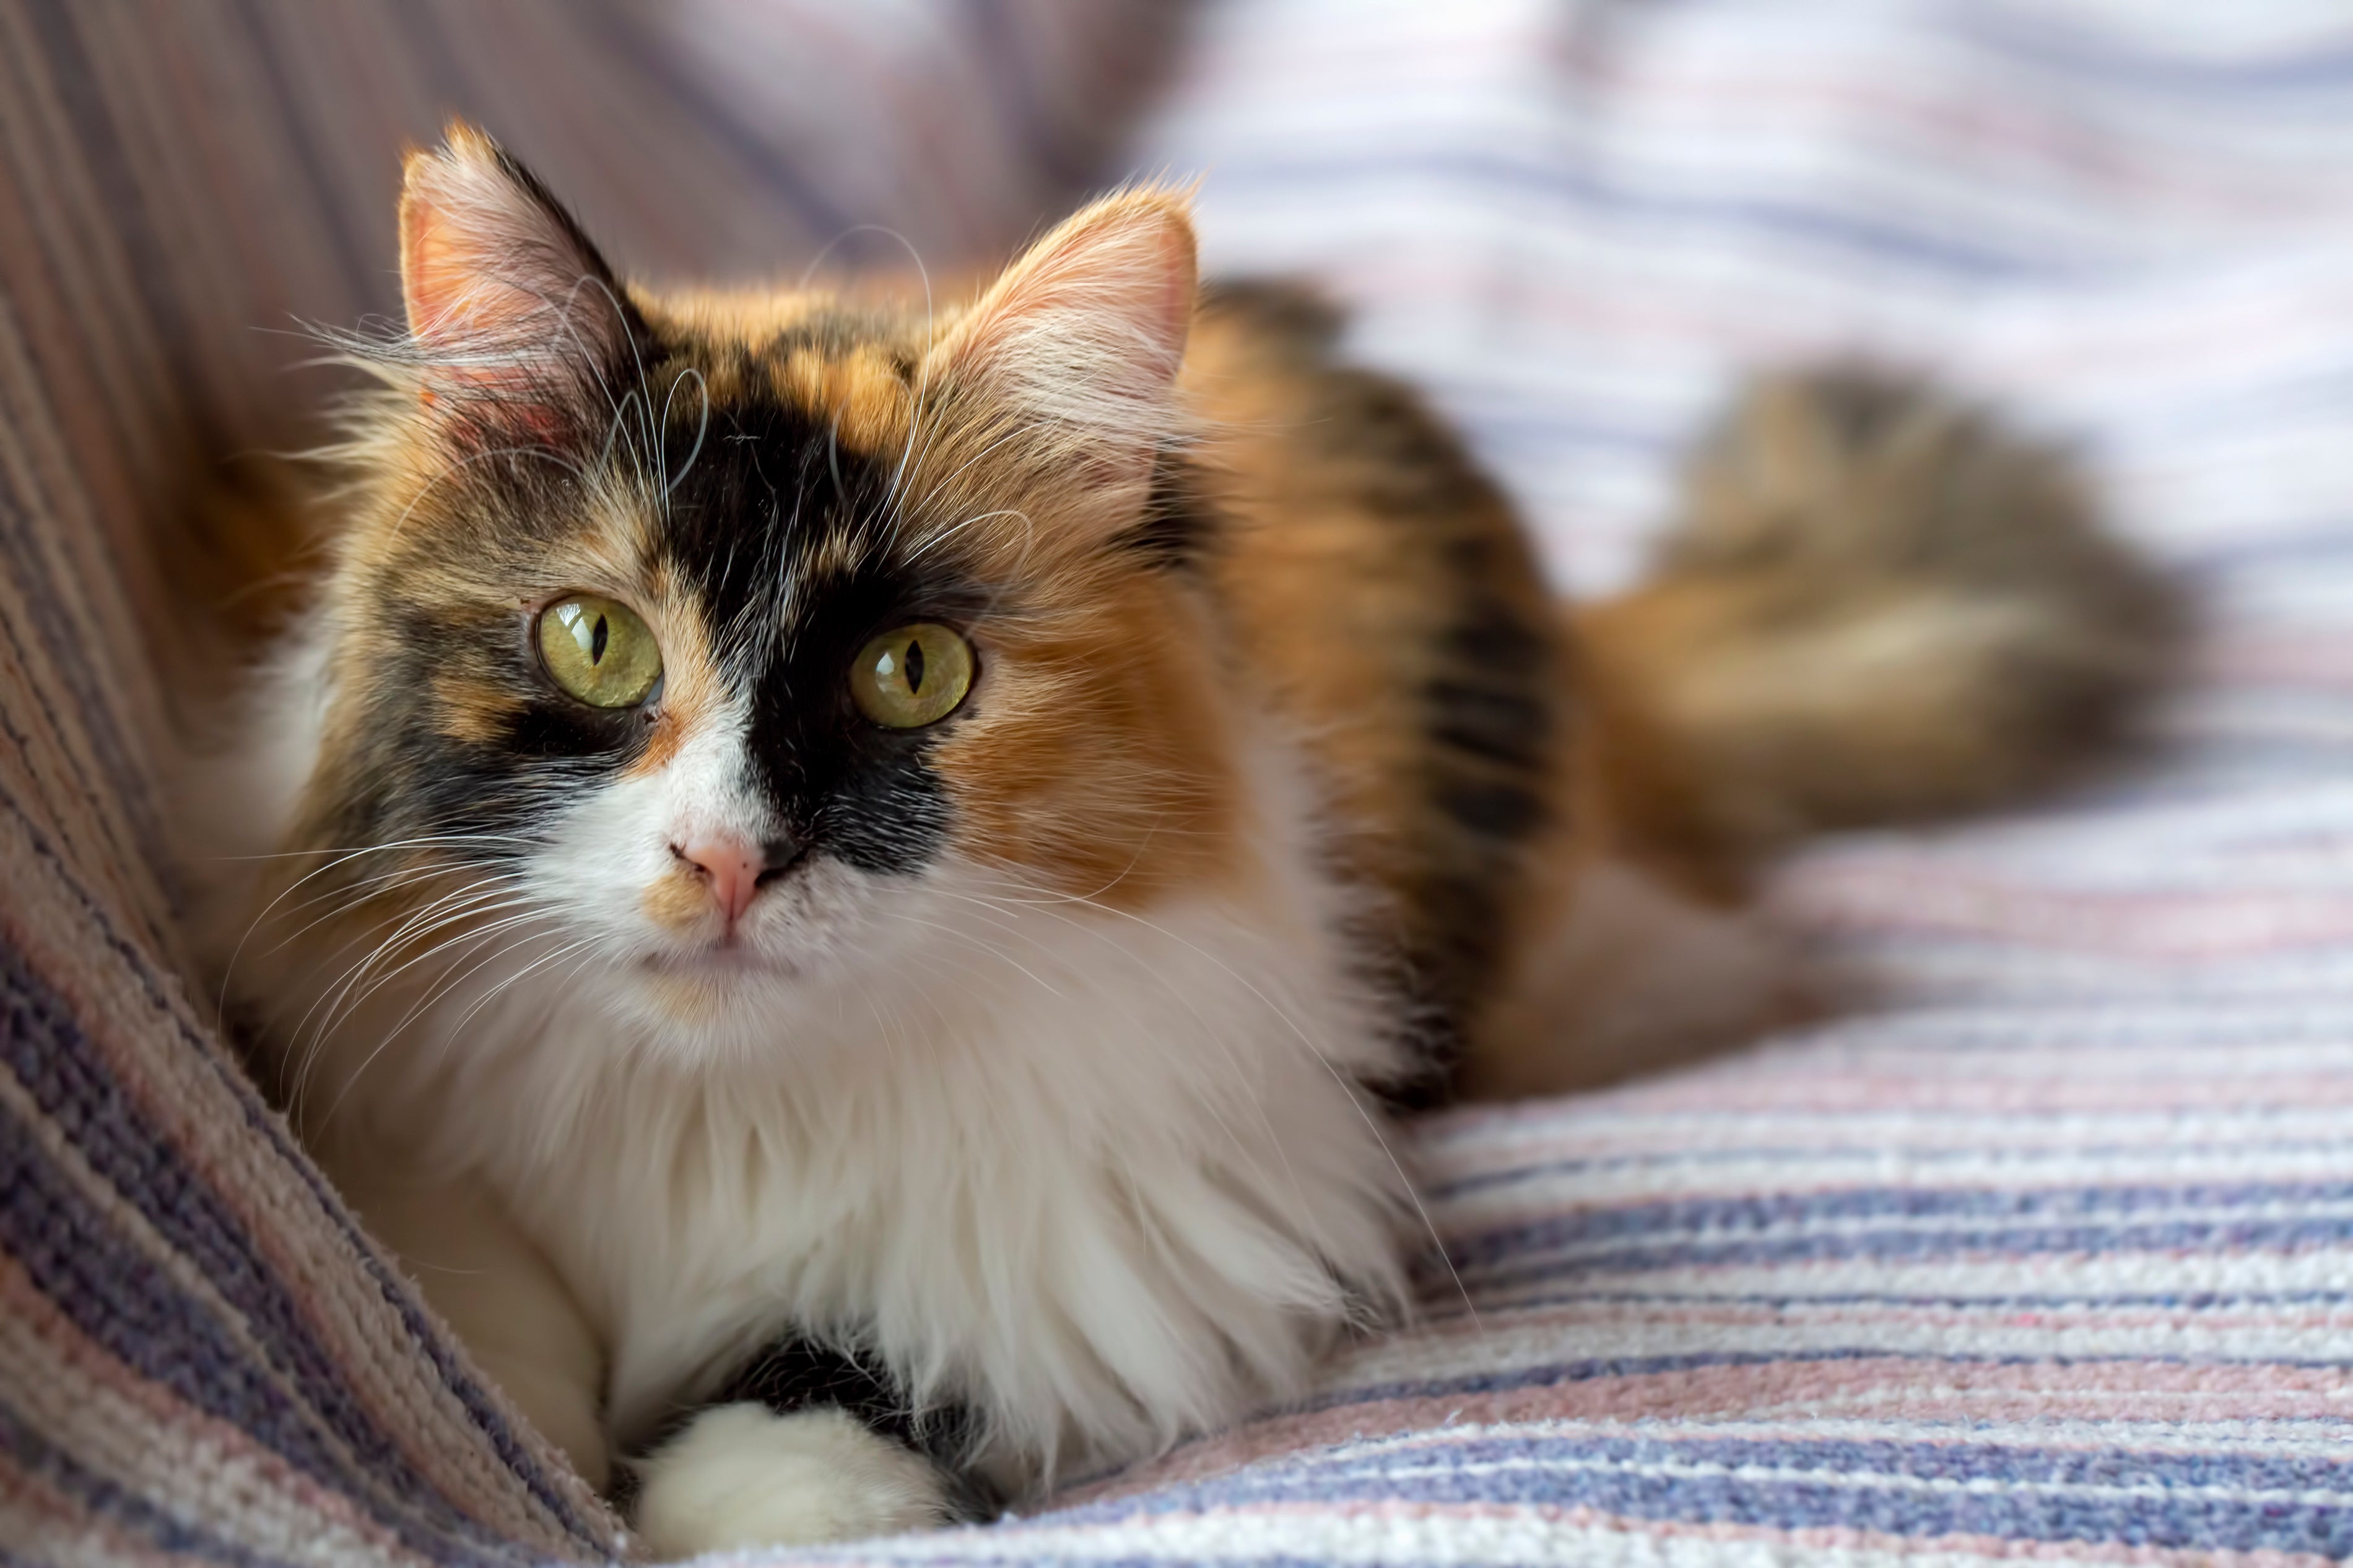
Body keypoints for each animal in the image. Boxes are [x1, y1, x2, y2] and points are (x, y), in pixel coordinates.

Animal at [188, 126, 2183, 1561]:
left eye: (916, 674)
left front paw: (730, 1501)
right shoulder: (386, 1111)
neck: (718, 1108)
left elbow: (860, 1354)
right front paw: (509, 1428)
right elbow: (460, 1306)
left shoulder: (1130, 1231)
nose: (729, 862)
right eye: (596, 642)